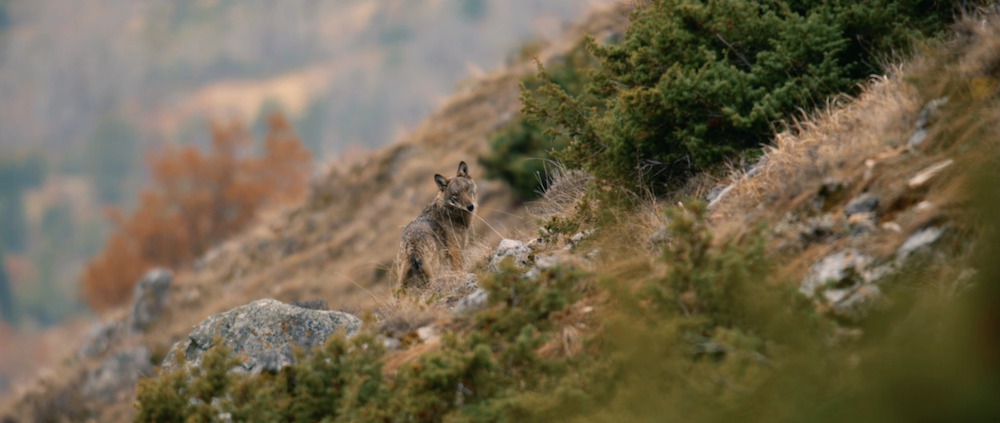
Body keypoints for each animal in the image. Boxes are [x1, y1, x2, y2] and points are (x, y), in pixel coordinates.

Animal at [396, 161, 478, 292]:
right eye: (455, 194)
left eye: (467, 188)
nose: (470, 206)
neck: (450, 212)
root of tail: (412, 244)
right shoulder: (455, 251)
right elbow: (459, 270)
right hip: (435, 270)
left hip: (402, 281)